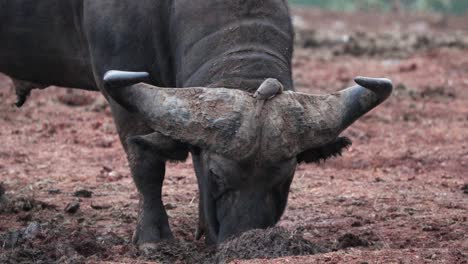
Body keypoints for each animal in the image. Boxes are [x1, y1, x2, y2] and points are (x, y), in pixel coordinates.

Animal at [0, 0, 392, 248]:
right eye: (217, 175)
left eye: (288, 176)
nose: (245, 239)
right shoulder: (121, 89)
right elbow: (147, 164)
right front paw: (153, 239)